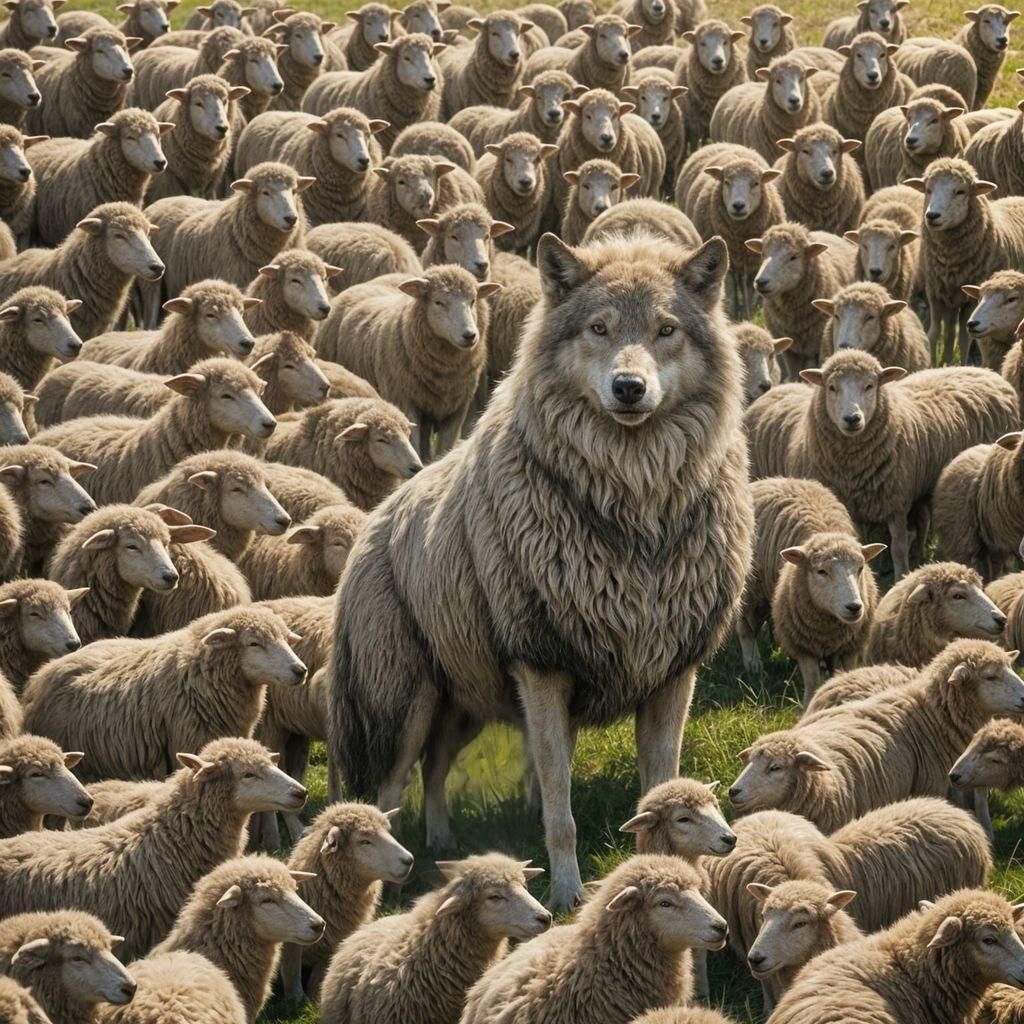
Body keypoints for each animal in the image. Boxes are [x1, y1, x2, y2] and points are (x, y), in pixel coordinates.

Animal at [280, 802, 414, 1003]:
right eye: (364, 841)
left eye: (388, 831)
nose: (409, 860)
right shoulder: (292, 943)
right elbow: (291, 972)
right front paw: (296, 999)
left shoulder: (332, 946)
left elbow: (319, 979)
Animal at [316, 266, 496, 461]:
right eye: (438, 302)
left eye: (473, 300)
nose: (470, 335)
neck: (445, 371)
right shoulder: (405, 401)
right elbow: (413, 444)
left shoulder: (458, 409)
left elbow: (444, 448)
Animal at [676, 142, 785, 317]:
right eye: (726, 182)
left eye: (755, 183)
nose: (738, 205)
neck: (740, 237)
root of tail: (727, 143)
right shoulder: (730, 263)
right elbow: (731, 290)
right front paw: (733, 313)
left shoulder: (754, 262)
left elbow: (749, 291)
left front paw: (749, 314)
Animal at [738, 476, 883, 701]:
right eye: (821, 571)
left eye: (860, 568)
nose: (854, 607)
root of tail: (771, 479)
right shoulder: (804, 647)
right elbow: (813, 682)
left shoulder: (849, 648)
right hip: (752, 592)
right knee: (746, 628)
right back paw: (753, 665)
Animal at [907, 158, 1024, 365]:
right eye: (928, 190)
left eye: (960, 191)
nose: (932, 216)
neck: (949, 257)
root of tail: (1017, 197)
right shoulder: (934, 292)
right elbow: (934, 333)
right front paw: (934, 365)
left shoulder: (971, 299)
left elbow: (964, 337)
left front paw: (961, 365)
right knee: (949, 332)